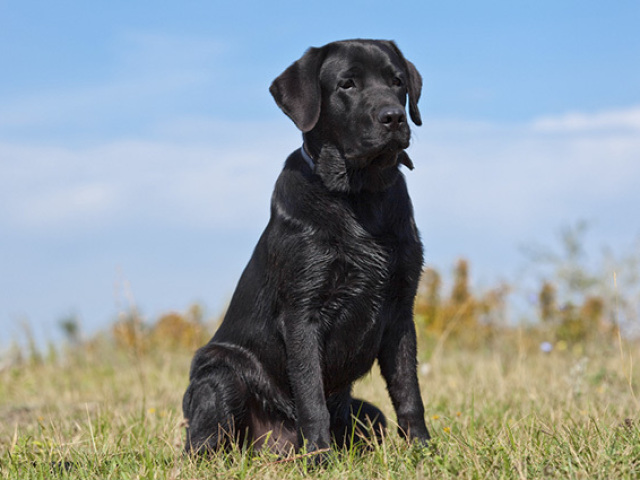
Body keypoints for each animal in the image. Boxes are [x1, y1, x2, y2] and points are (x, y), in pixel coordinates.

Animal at [182, 39, 430, 456]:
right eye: (347, 84)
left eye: (397, 81)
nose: (394, 117)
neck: (359, 196)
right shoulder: (302, 310)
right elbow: (311, 393)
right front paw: (319, 457)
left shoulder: (400, 310)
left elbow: (408, 390)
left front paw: (423, 450)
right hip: (218, 372)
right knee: (201, 445)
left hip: (369, 412)